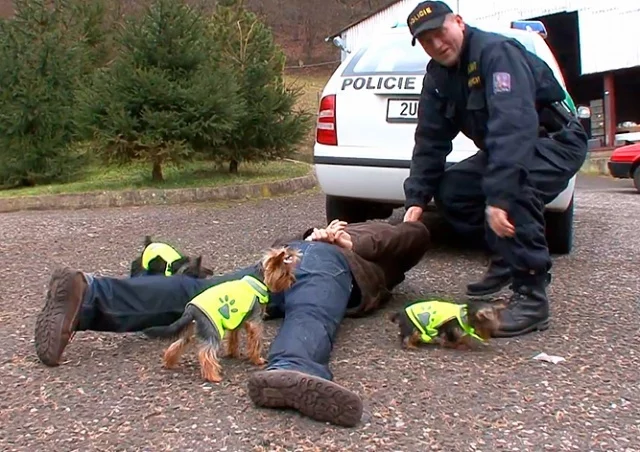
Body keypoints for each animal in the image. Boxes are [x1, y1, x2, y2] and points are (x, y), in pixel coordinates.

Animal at [141, 247, 302, 382]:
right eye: (285, 274)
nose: (293, 280)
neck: (258, 278)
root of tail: (191, 310)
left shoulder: (238, 320)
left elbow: (233, 338)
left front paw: (233, 353)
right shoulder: (255, 321)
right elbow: (255, 341)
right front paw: (257, 360)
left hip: (191, 329)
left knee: (177, 344)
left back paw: (169, 362)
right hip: (212, 329)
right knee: (206, 354)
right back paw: (213, 376)